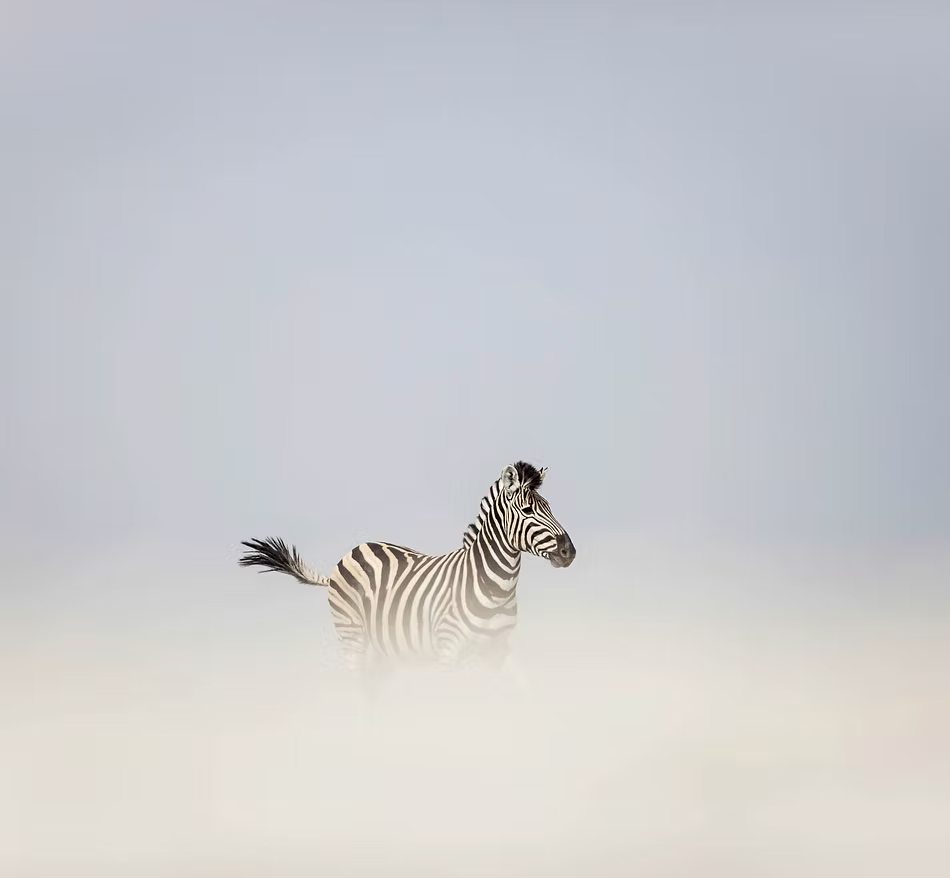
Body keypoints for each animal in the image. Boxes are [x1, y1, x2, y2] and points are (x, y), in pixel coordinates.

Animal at [238, 461, 575, 693]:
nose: (569, 551)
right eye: (528, 510)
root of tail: (353, 550)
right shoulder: (449, 649)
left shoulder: (497, 651)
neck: (496, 588)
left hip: (384, 651)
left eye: (549, 507)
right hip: (352, 637)